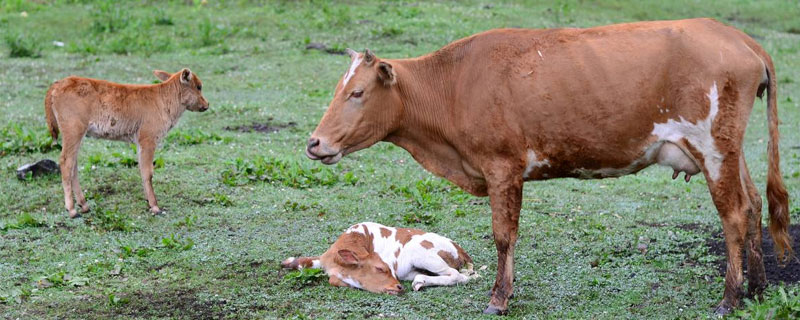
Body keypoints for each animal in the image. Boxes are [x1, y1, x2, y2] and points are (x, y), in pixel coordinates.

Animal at [44, 67, 209, 218]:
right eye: (198, 86)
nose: (206, 105)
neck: (163, 98)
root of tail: (59, 83)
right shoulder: (148, 140)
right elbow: (148, 172)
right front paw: (155, 207)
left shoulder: (140, 143)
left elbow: (142, 170)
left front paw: (149, 202)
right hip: (73, 132)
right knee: (66, 162)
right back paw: (72, 209)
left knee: (74, 164)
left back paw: (84, 205)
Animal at [282, 222, 476, 296]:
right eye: (379, 269)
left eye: (385, 268)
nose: (398, 287)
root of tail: (460, 250)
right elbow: (303, 263)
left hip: (421, 253)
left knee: (457, 276)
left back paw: (420, 282)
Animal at [306, 18, 792, 316]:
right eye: (338, 89)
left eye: (357, 93)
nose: (315, 142)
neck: (453, 86)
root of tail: (738, 38)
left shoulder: (502, 165)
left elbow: (504, 236)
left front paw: (499, 299)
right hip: (731, 150)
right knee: (753, 204)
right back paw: (757, 288)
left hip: (713, 147)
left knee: (734, 214)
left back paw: (730, 298)